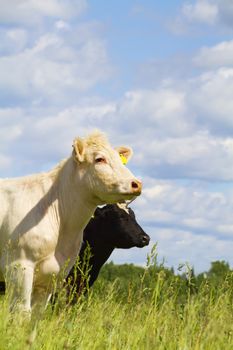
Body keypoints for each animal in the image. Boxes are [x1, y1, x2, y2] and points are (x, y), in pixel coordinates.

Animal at [0, 131, 142, 312]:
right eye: (99, 159)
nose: (136, 184)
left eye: (119, 158)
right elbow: (22, 312)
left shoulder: (54, 276)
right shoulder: (19, 266)